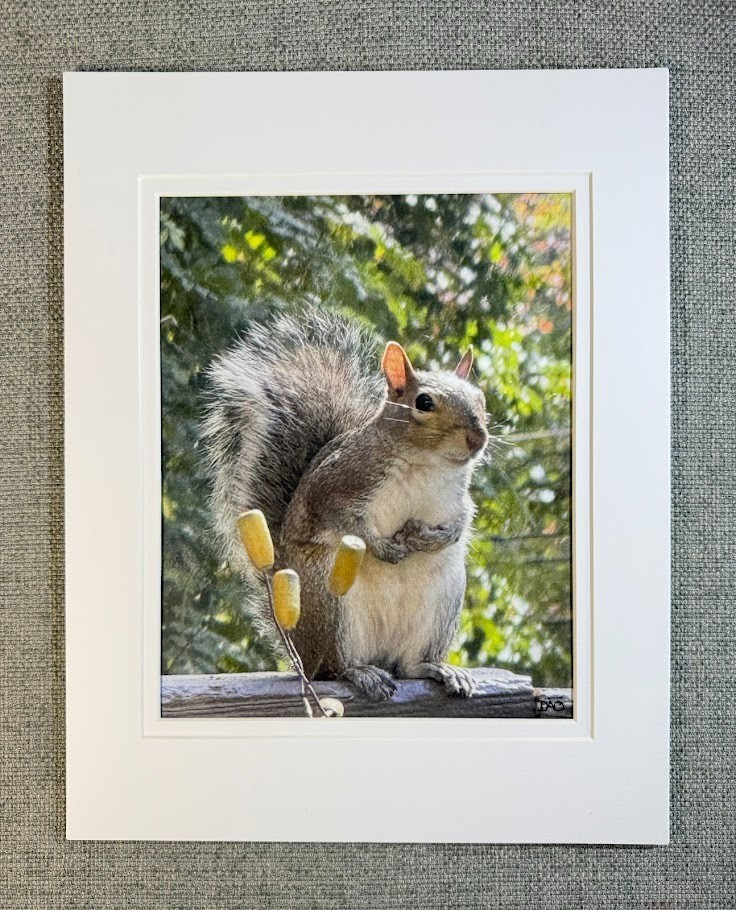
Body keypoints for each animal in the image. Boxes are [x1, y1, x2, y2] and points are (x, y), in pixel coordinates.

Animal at [203, 309, 489, 701]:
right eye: (424, 403)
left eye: (481, 398)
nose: (478, 439)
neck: (427, 464)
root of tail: (302, 654)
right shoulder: (336, 482)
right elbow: (344, 519)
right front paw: (383, 547)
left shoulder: (458, 497)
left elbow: (464, 519)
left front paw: (436, 538)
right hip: (329, 600)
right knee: (335, 668)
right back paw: (362, 673)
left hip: (442, 602)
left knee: (410, 666)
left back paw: (439, 668)